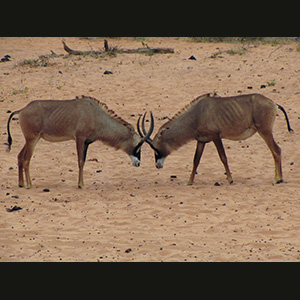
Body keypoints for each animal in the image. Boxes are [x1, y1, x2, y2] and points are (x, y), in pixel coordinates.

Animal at [7, 95, 154, 189]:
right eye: (138, 145)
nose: (138, 163)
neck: (95, 114)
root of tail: (22, 110)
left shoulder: (87, 142)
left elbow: (83, 161)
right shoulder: (80, 139)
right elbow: (80, 161)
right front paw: (81, 185)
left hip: (31, 140)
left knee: (20, 156)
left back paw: (21, 184)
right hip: (32, 139)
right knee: (26, 159)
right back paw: (30, 185)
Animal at [139, 92, 292, 184]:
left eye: (155, 147)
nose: (158, 165)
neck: (197, 114)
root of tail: (274, 104)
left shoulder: (216, 137)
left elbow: (223, 157)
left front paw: (230, 180)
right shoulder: (201, 140)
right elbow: (196, 160)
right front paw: (189, 182)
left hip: (265, 131)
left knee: (276, 150)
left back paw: (278, 179)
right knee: (275, 151)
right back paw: (277, 178)